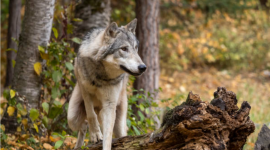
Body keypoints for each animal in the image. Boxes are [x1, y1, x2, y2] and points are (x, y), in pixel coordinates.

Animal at [68, 19, 147, 150]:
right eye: (124, 49)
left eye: (136, 48)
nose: (143, 67)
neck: (100, 75)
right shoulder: (85, 91)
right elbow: (91, 114)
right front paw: (95, 134)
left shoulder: (110, 105)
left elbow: (108, 137)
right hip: (72, 117)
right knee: (83, 124)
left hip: (118, 123)